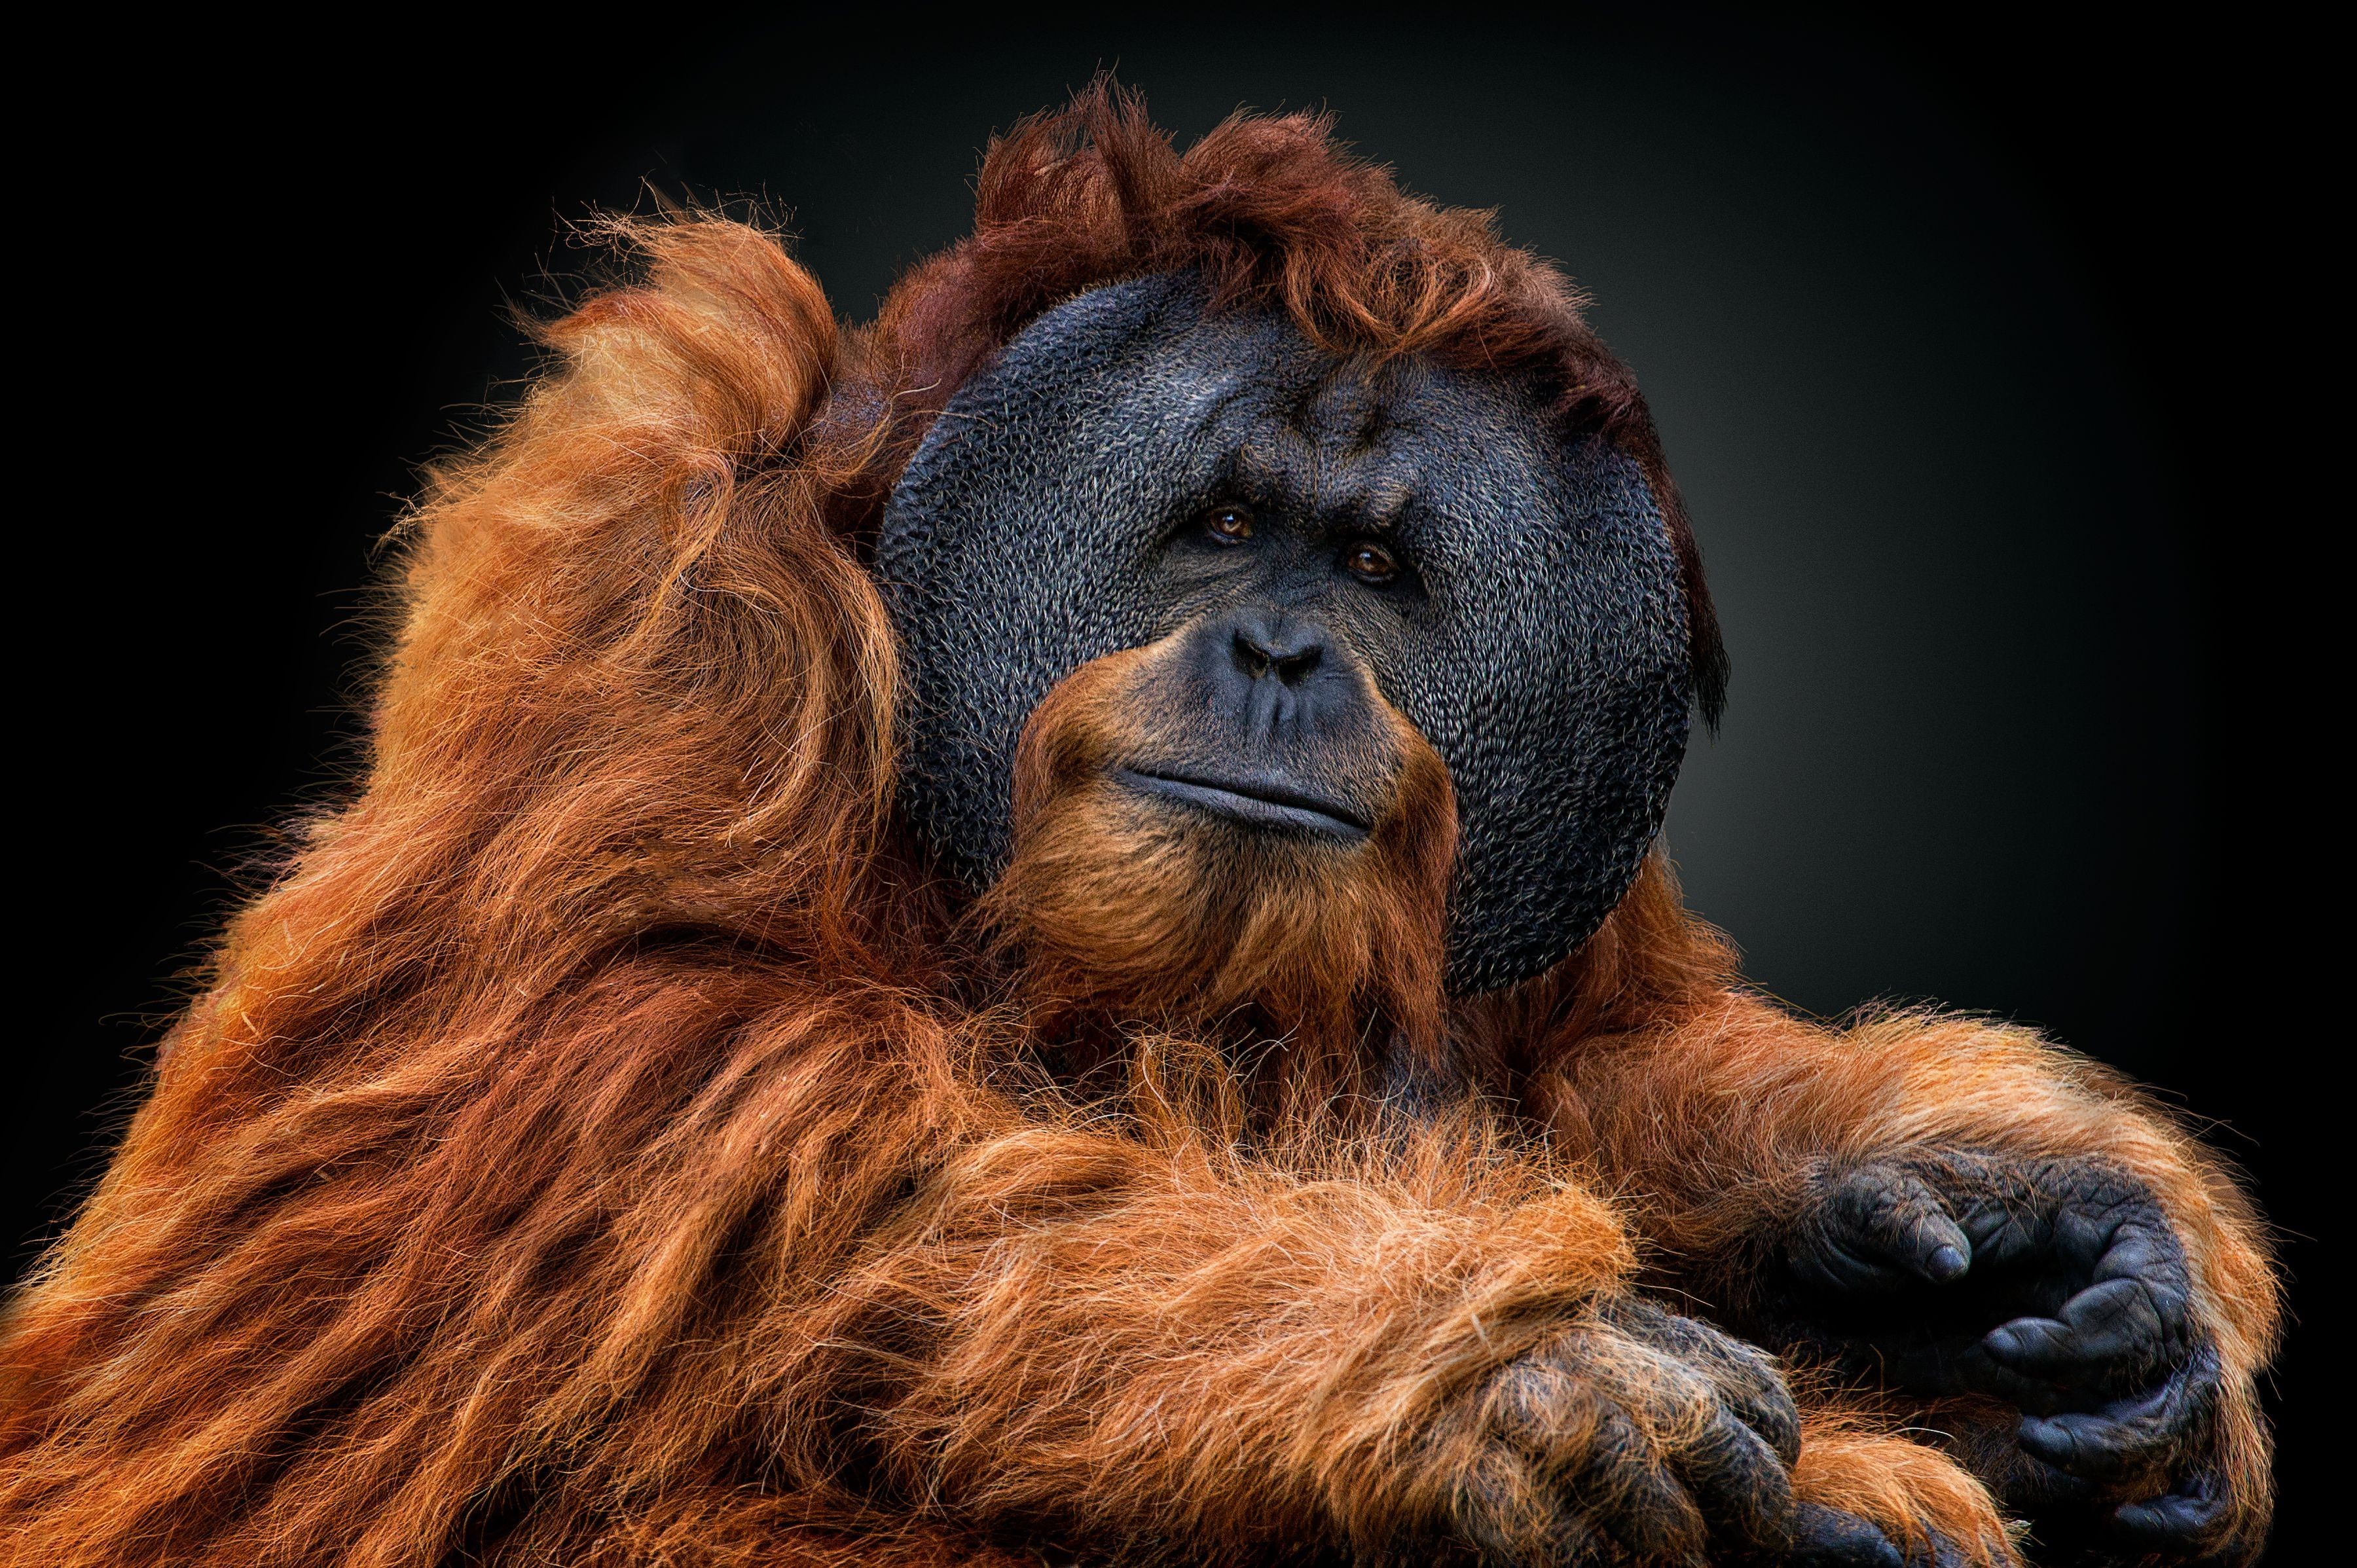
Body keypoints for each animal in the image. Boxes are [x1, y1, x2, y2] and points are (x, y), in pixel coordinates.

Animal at [0, 87, 2276, 1568]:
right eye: (1221, 526)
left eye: (1378, 564)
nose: (1278, 646)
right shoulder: (654, 584)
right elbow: (581, 1097)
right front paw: (1505, 1373)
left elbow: (1604, 1057)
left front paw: (1993, 1223)